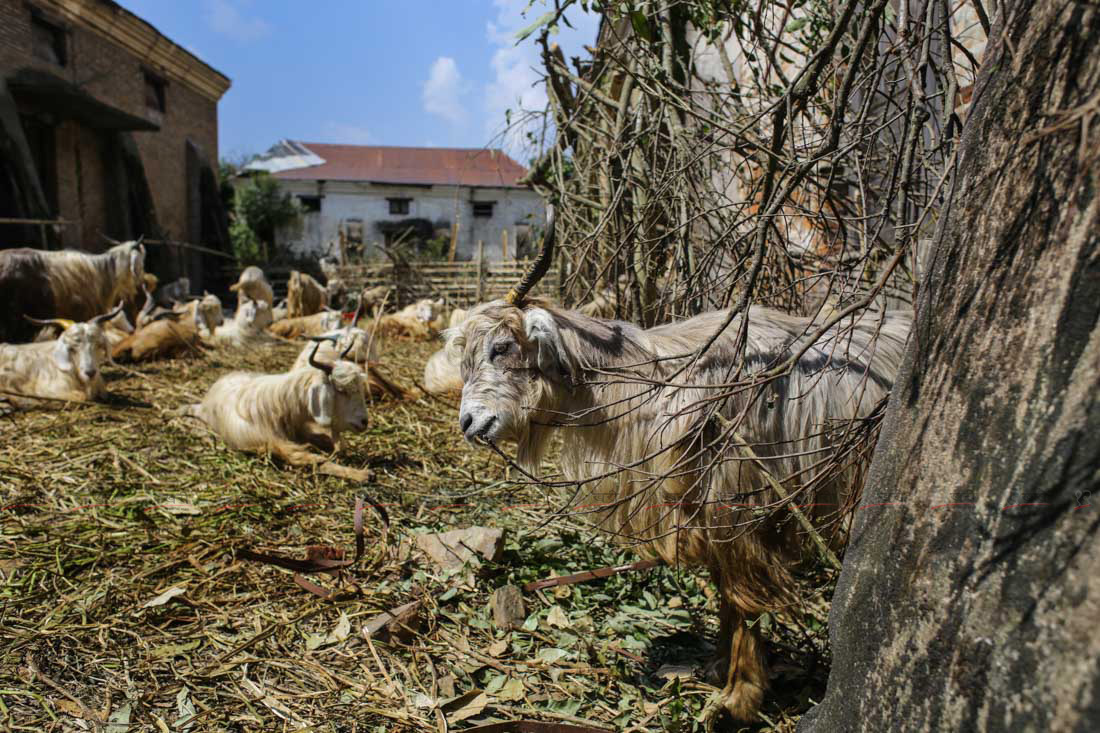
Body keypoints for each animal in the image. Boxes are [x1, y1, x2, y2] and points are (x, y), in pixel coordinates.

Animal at [446, 294, 910, 717]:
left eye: (502, 347)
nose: (468, 424)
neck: (665, 381)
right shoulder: (709, 510)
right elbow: (724, 588)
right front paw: (719, 666)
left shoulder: (740, 506)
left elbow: (743, 596)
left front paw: (738, 699)